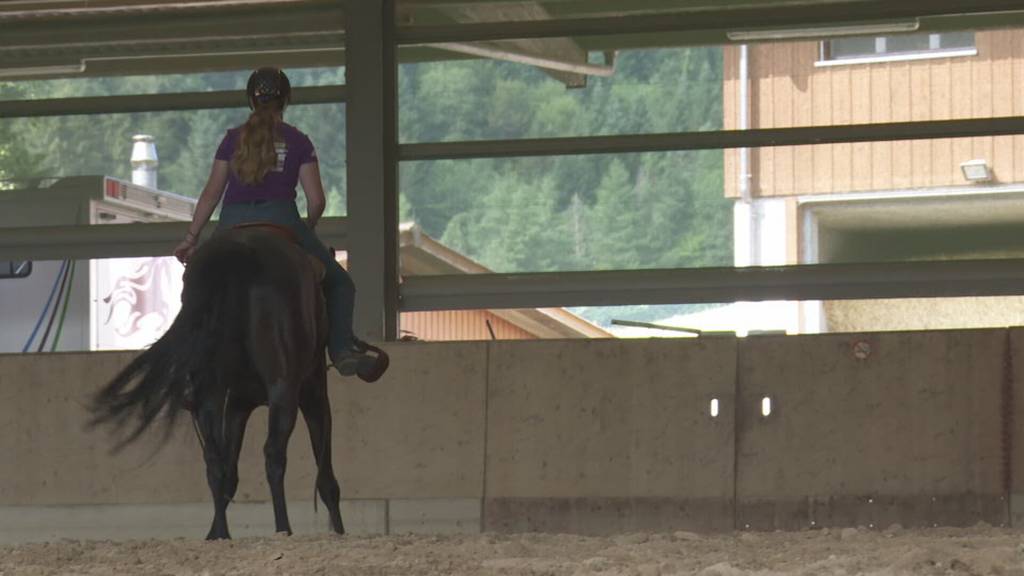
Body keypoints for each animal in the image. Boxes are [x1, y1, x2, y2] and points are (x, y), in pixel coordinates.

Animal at [87, 225, 368, 537]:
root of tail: (239, 252)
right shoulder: (314, 394)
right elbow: (326, 475)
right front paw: (339, 530)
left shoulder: (237, 405)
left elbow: (230, 471)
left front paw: (216, 530)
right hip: (284, 391)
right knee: (273, 455)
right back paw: (282, 528)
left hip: (211, 395)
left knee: (215, 460)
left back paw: (220, 533)